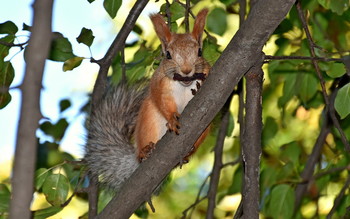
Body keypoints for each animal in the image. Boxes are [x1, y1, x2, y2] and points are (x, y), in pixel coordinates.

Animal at [85, 8, 211, 190]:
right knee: (142, 151)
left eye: (200, 52)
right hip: (148, 123)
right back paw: (145, 151)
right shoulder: (159, 85)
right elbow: (162, 101)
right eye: (168, 55)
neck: (184, 85)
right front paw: (172, 118)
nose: (187, 71)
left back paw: (187, 153)